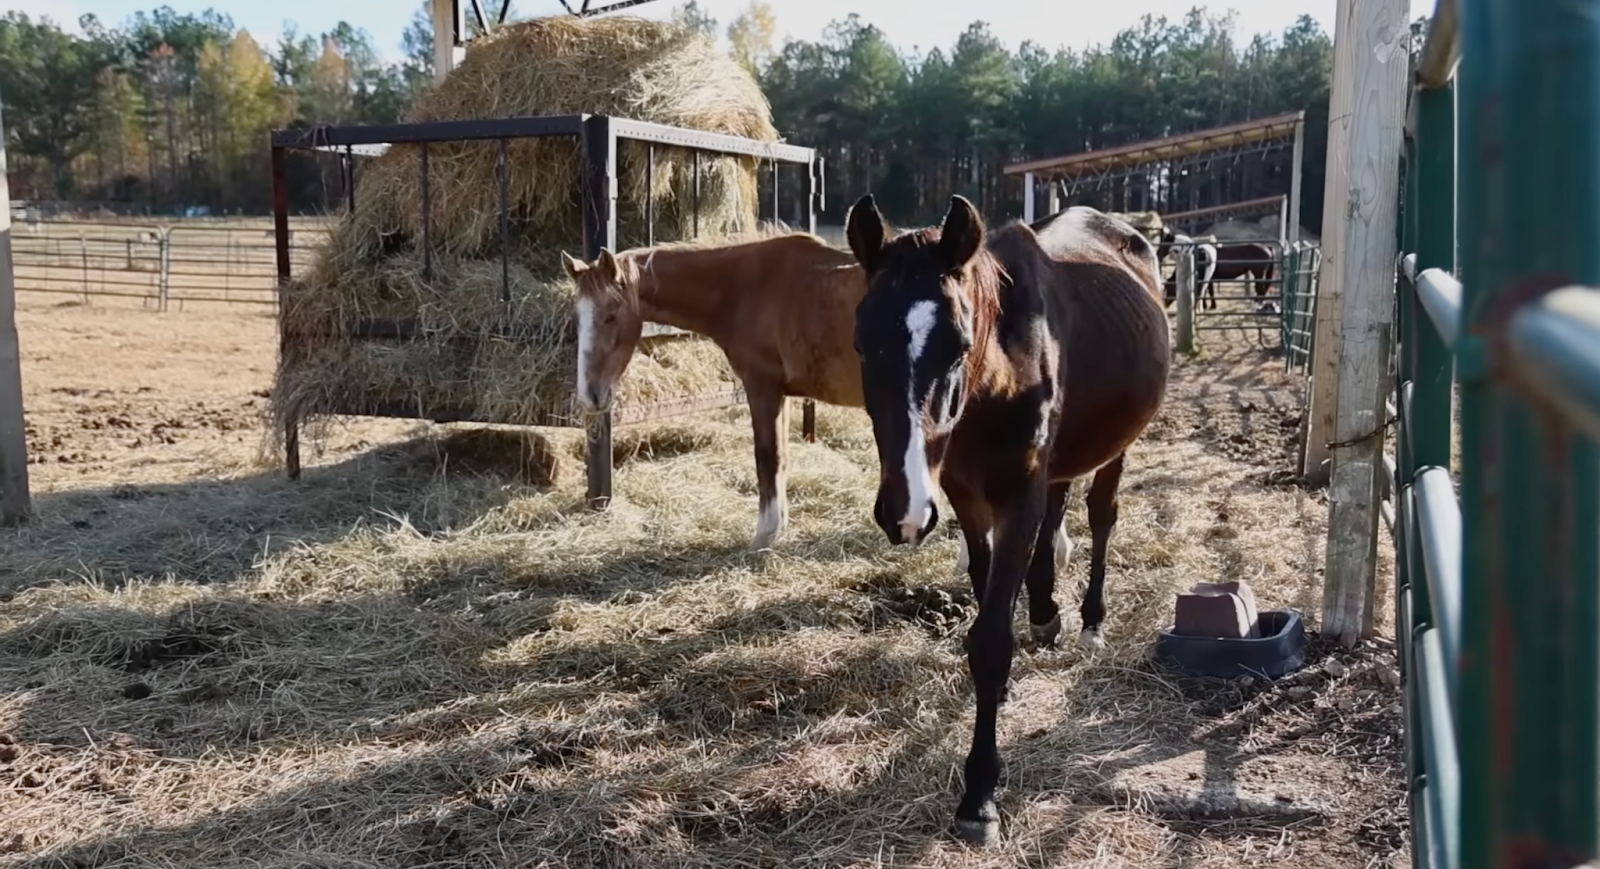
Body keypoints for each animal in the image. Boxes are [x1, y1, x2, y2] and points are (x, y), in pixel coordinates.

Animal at [559, 231, 1072, 564]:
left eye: (610, 315)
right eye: (577, 315)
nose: (591, 397)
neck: (743, 286)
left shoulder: (763, 387)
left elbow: (768, 459)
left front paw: (764, 536)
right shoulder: (783, 394)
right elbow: (780, 460)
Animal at [845, 195, 1170, 846]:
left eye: (957, 344)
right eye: (863, 345)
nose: (903, 512)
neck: (999, 381)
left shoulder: (1018, 495)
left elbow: (991, 638)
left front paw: (979, 797)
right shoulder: (965, 497)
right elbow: (986, 579)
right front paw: (1027, 639)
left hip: (1115, 448)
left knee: (1100, 516)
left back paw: (1090, 621)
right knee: (1059, 510)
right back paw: (1045, 613)